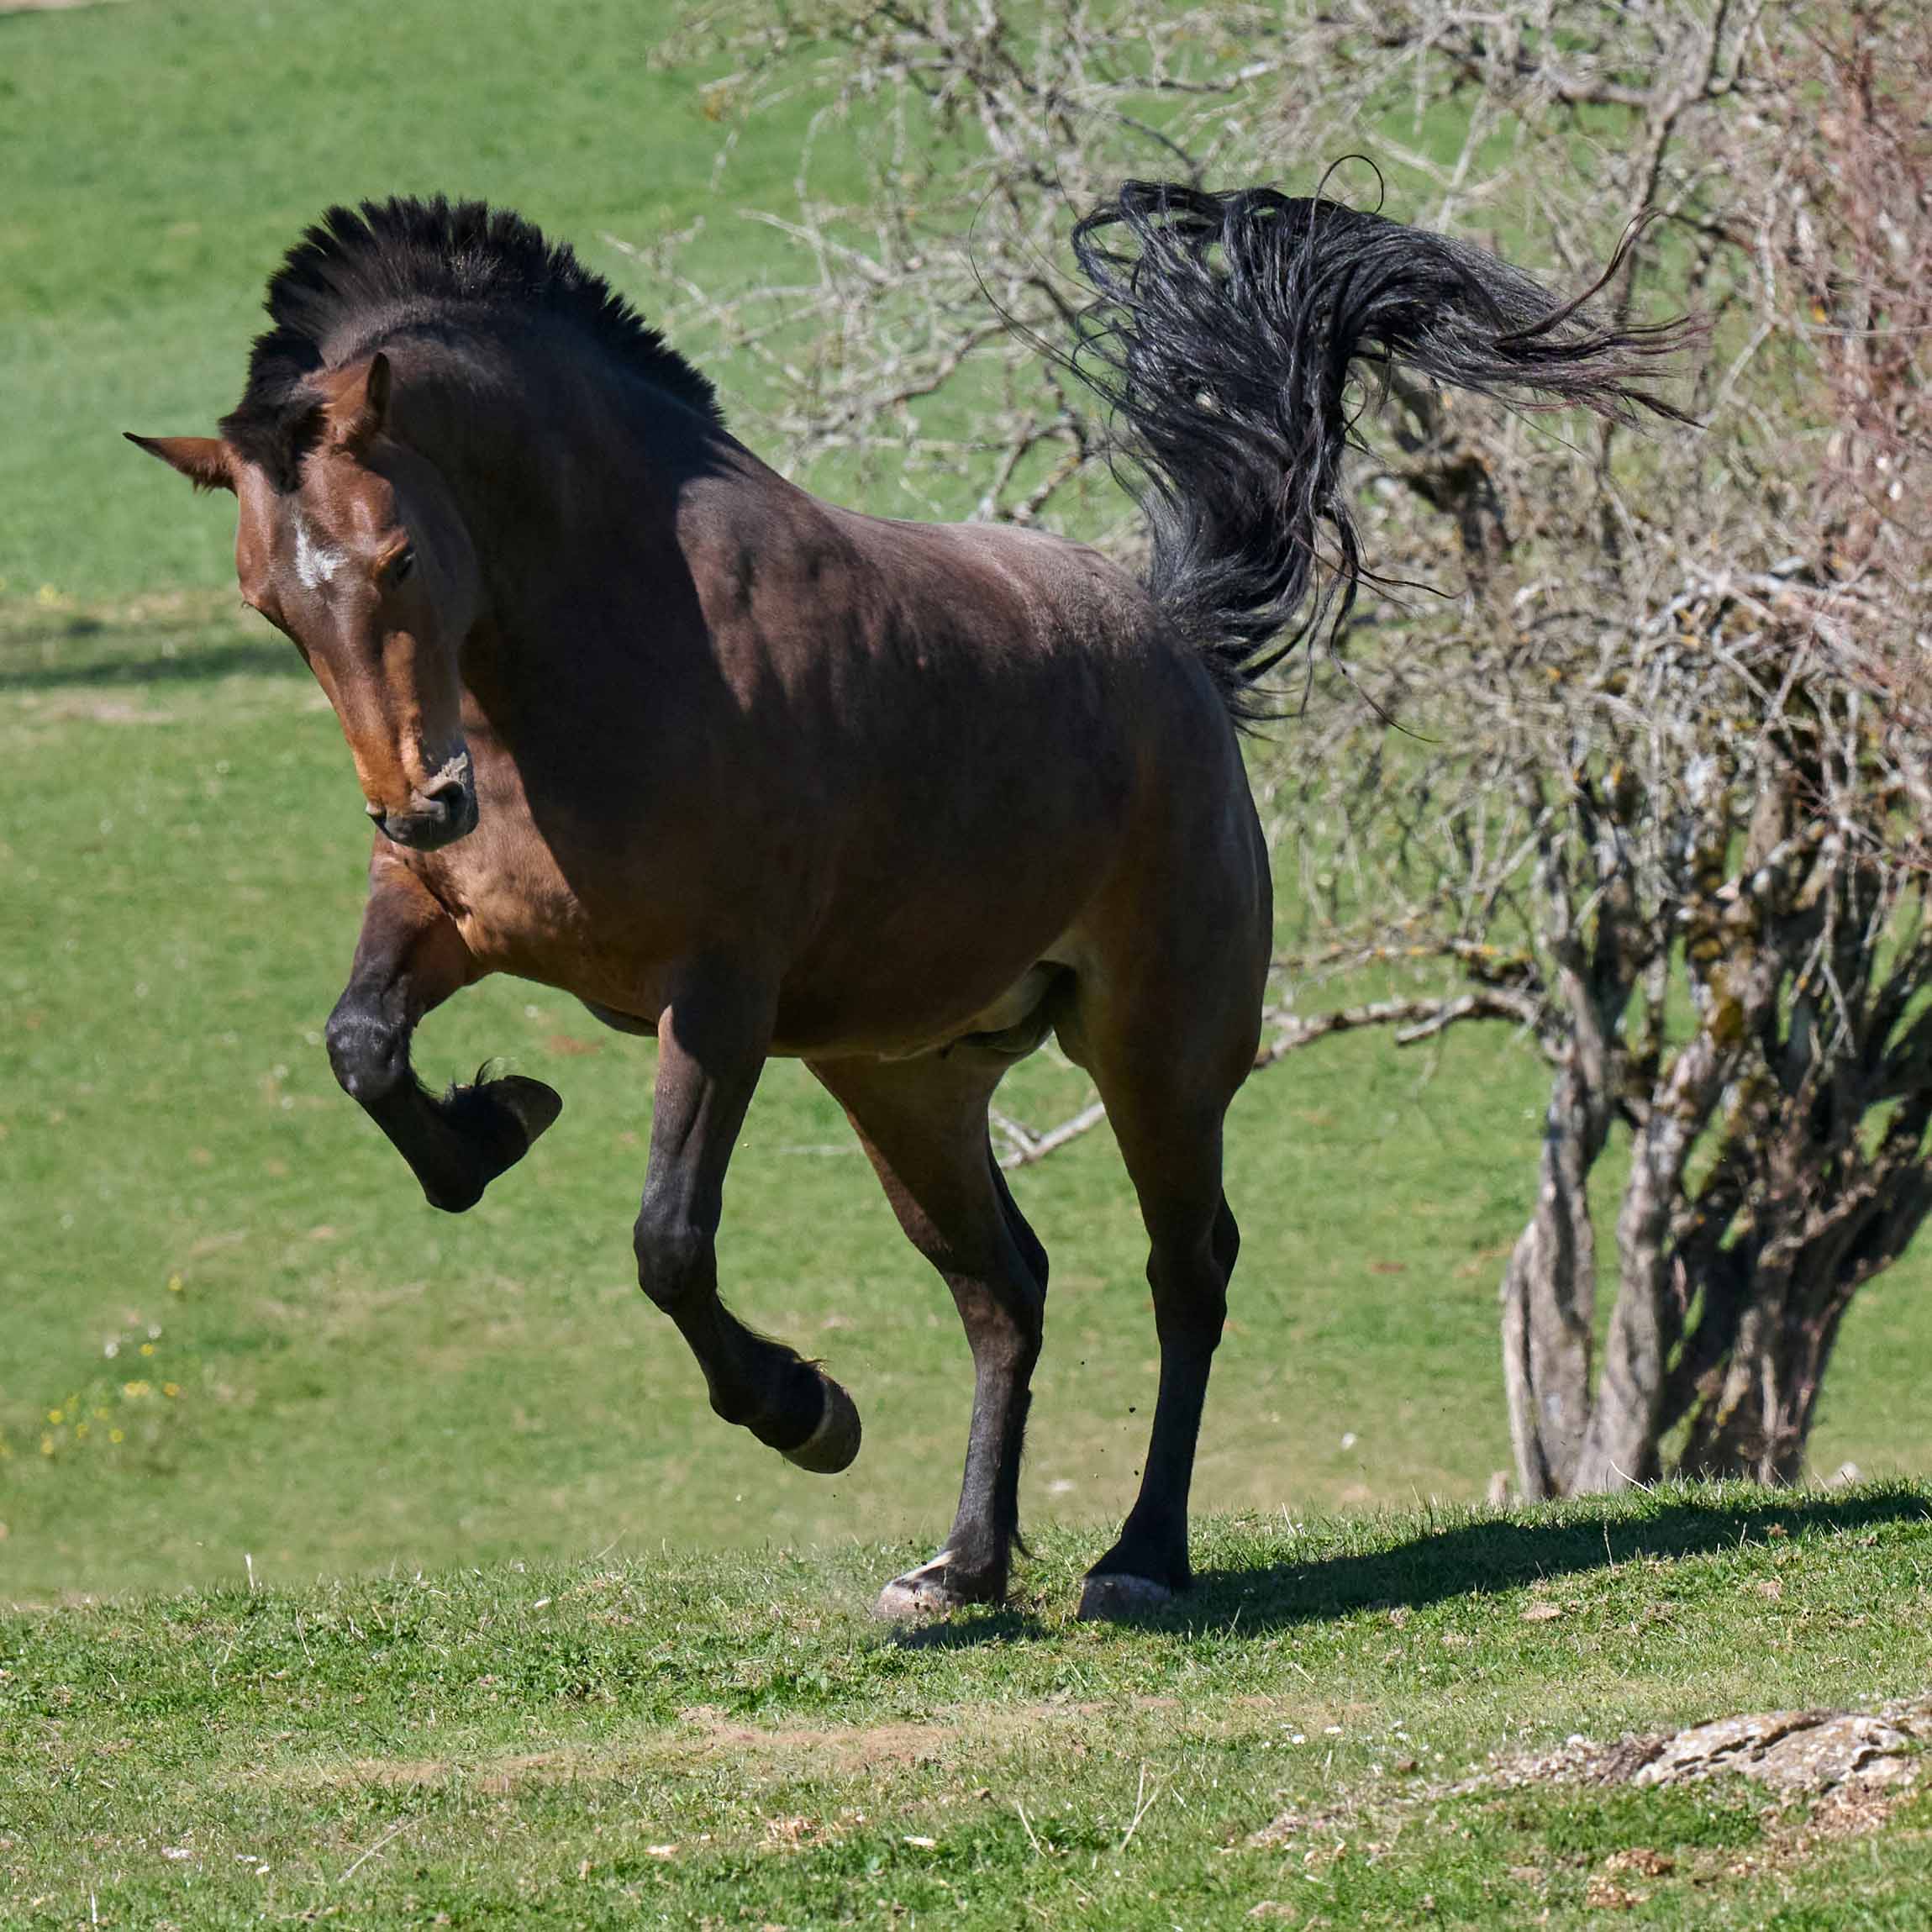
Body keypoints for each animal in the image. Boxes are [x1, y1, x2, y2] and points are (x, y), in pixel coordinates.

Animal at [130, 187, 1678, 1619]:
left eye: (397, 558)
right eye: (267, 601)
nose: (419, 806)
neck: (593, 647)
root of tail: (1174, 639)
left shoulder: (719, 996)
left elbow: (667, 1241)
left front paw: (804, 1410)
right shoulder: (450, 922)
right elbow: (363, 1051)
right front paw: (497, 1117)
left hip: (1157, 1053)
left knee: (1186, 1271)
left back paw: (1137, 1559)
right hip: (903, 1079)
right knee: (1005, 1286)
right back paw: (965, 1565)